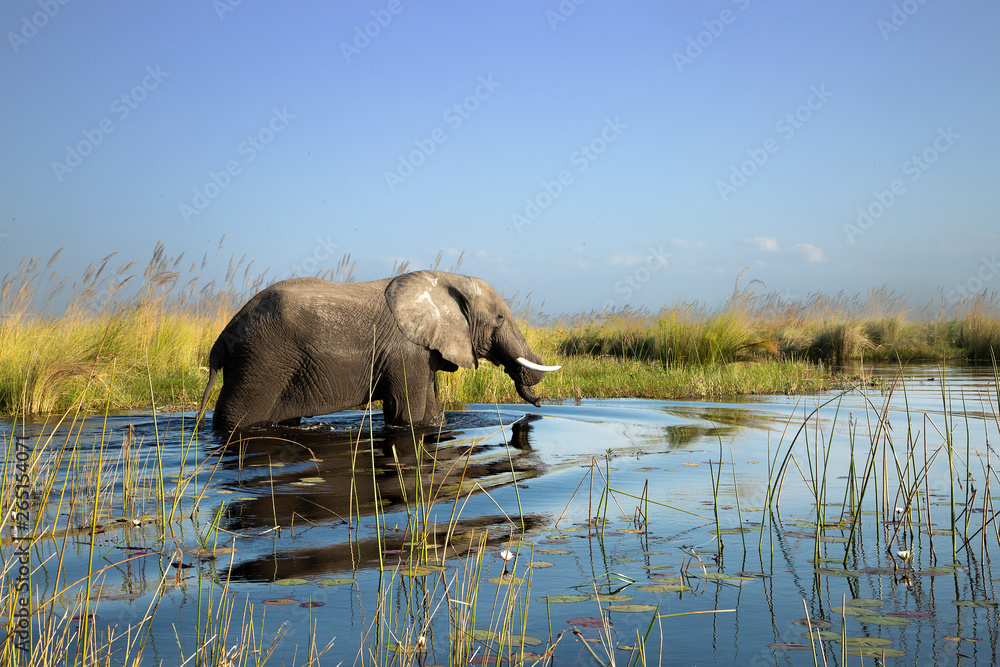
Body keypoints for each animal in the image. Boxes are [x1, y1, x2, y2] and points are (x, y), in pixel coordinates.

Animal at [197, 270, 560, 432]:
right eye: (499, 318)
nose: (540, 404)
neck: (444, 279)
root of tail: (222, 336)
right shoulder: (406, 352)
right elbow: (407, 415)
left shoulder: (423, 351)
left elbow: (431, 415)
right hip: (261, 360)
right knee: (235, 416)